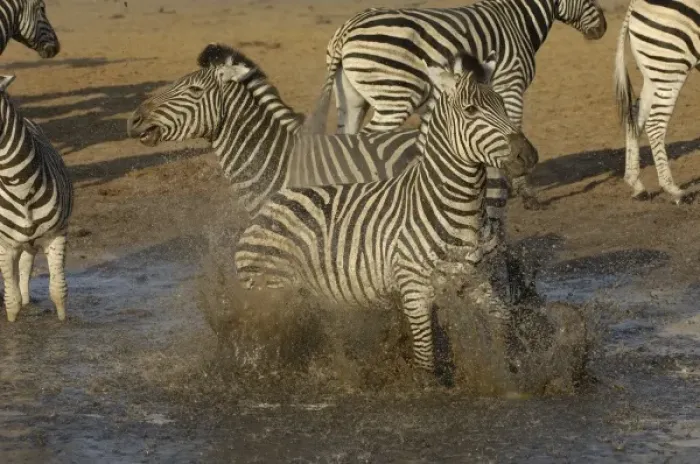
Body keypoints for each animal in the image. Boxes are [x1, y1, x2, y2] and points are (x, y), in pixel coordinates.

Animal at [0, 75, 73, 322]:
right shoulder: (5, 245)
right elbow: (11, 301)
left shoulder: (56, 235)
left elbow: (58, 290)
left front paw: (63, 324)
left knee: (24, 268)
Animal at [234, 62, 539, 374]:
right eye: (471, 110)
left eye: (501, 104)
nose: (527, 155)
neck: (456, 210)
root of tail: (268, 206)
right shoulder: (414, 291)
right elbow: (425, 360)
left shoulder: (474, 280)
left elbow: (503, 322)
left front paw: (513, 368)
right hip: (272, 290)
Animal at [305, 0, 606, 208]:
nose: (603, 28)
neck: (518, 22)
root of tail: (346, 29)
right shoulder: (511, 84)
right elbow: (512, 129)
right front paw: (524, 192)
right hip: (394, 96)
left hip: (352, 100)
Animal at [614, 0, 700, 204]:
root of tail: (634, 4)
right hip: (671, 65)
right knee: (655, 124)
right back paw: (673, 190)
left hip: (654, 73)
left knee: (635, 115)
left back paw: (635, 183)